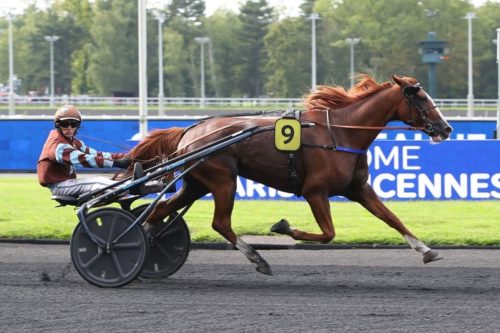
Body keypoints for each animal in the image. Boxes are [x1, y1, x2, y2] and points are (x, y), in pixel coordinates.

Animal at [126, 75, 454, 274]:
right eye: (420, 98)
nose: (447, 127)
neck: (340, 133)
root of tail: (189, 131)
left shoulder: (359, 189)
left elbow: (391, 217)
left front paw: (426, 249)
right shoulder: (315, 191)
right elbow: (328, 234)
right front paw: (283, 226)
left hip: (197, 183)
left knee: (161, 211)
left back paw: (145, 244)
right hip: (223, 181)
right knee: (220, 223)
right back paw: (257, 258)